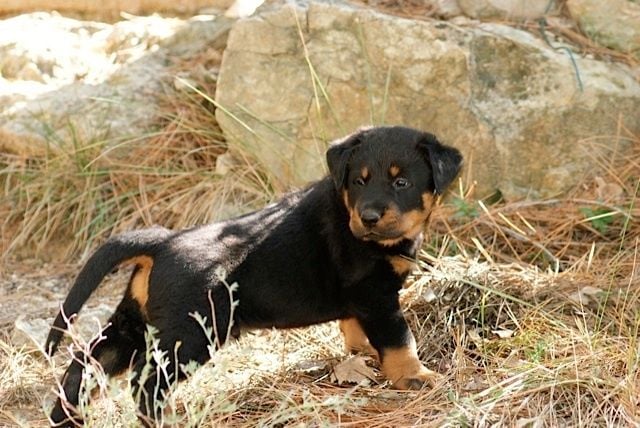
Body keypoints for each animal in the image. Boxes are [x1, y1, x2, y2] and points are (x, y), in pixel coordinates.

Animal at [46, 125, 464, 426]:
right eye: (359, 181)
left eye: (401, 182)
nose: (370, 216)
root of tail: (163, 242)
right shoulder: (376, 296)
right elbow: (400, 341)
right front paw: (416, 376)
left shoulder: (360, 300)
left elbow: (354, 328)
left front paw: (361, 351)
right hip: (192, 333)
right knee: (145, 382)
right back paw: (163, 421)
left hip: (137, 321)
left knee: (89, 361)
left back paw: (68, 416)